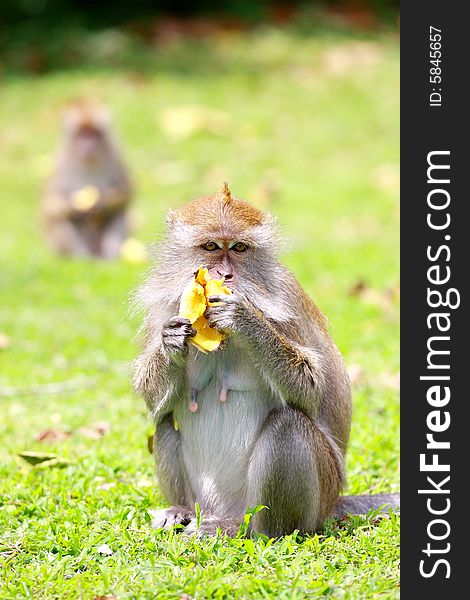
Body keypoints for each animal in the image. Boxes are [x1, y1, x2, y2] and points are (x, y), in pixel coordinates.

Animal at [42, 103, 132, 258]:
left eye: (93, 134)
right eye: (81, 135)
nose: (88, 145)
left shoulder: (116, 159)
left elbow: (125, 194)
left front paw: (102, 203)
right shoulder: (61, 166)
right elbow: (53, 205)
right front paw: (74, 207)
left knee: (120, 215)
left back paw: (111, 255)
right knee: (63, 220)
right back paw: (80, 257)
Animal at [133, 185, 400, 536]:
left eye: (239, 248)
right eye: (211, 246)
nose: (224, 274)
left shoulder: (286, 302)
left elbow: (313, 389)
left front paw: (244, 318)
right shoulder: (163, 309)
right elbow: (153, 401)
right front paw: (170, 341)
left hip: (315, 496)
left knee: (288, 425)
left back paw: (247, 530)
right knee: (166, 420)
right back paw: (182, 511)